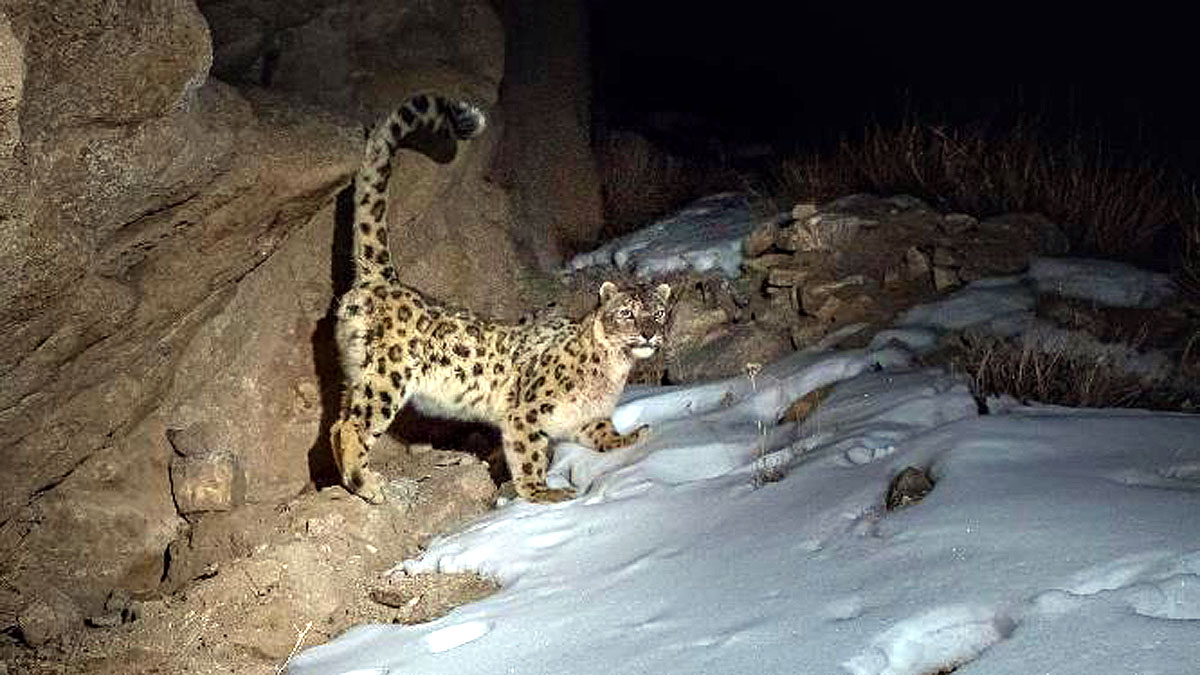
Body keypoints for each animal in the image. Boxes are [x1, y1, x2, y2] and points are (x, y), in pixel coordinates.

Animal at [330, 92, 671, 504]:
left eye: (658, 312)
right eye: (627, 314)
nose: (649, 334)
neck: (614, 371)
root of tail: (385, 280)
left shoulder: (586, 417)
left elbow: (603, 433)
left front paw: (633, 437)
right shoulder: (527, 411)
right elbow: (529, 455)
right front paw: (543, 492)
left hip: (357, 375)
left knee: (335, 422)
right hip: (385, 379)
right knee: (353, 426)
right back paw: (368, 484)